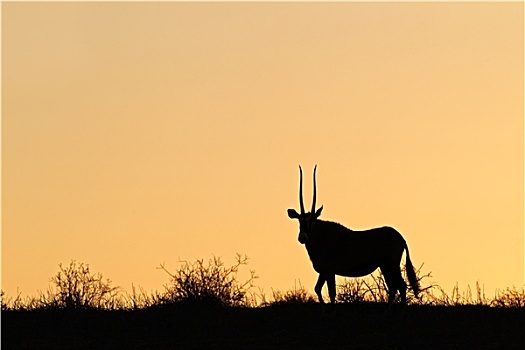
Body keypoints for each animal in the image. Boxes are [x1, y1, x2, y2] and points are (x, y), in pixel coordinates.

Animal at [286, 165, 418, 304]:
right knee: (393, 287)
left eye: (312, 220)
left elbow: (331, 293)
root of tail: (401, 238)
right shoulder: (324, 272)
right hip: (385, 266)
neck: (322, 235)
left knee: (401, 285)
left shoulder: (329, 271)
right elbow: (317, 289)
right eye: (299, 220)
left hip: (391, 265)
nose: (303, 237)